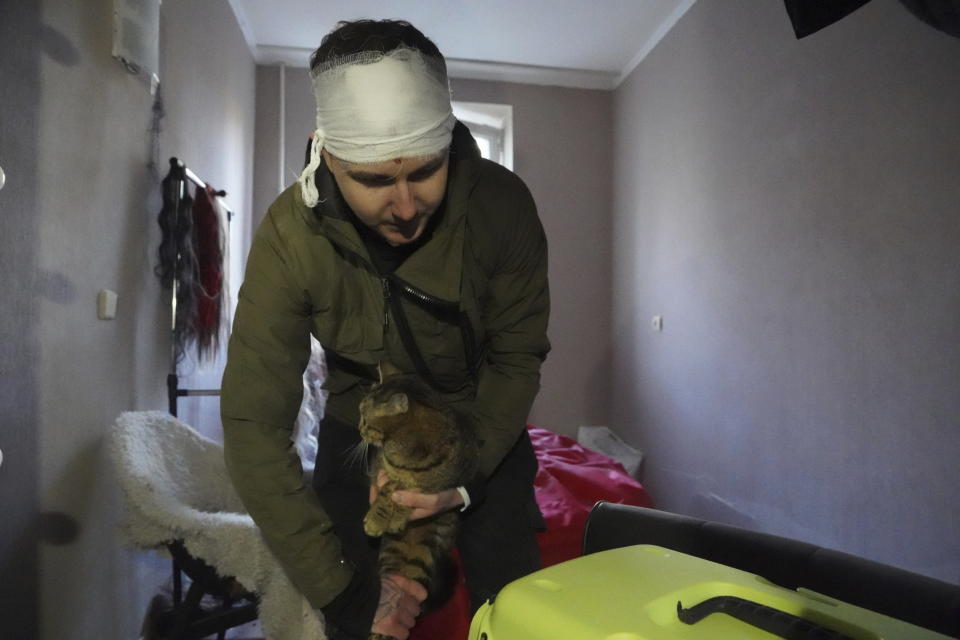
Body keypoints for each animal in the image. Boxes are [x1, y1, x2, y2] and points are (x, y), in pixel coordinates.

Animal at [360, 362, 480, 636]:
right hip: (393, 557)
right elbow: (386, 489)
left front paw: (391, 517)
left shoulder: (438, 484)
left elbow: (401, 491)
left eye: (365, 417)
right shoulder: (381, 468)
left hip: (423, 557)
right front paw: (380, 518)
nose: (359, 428)